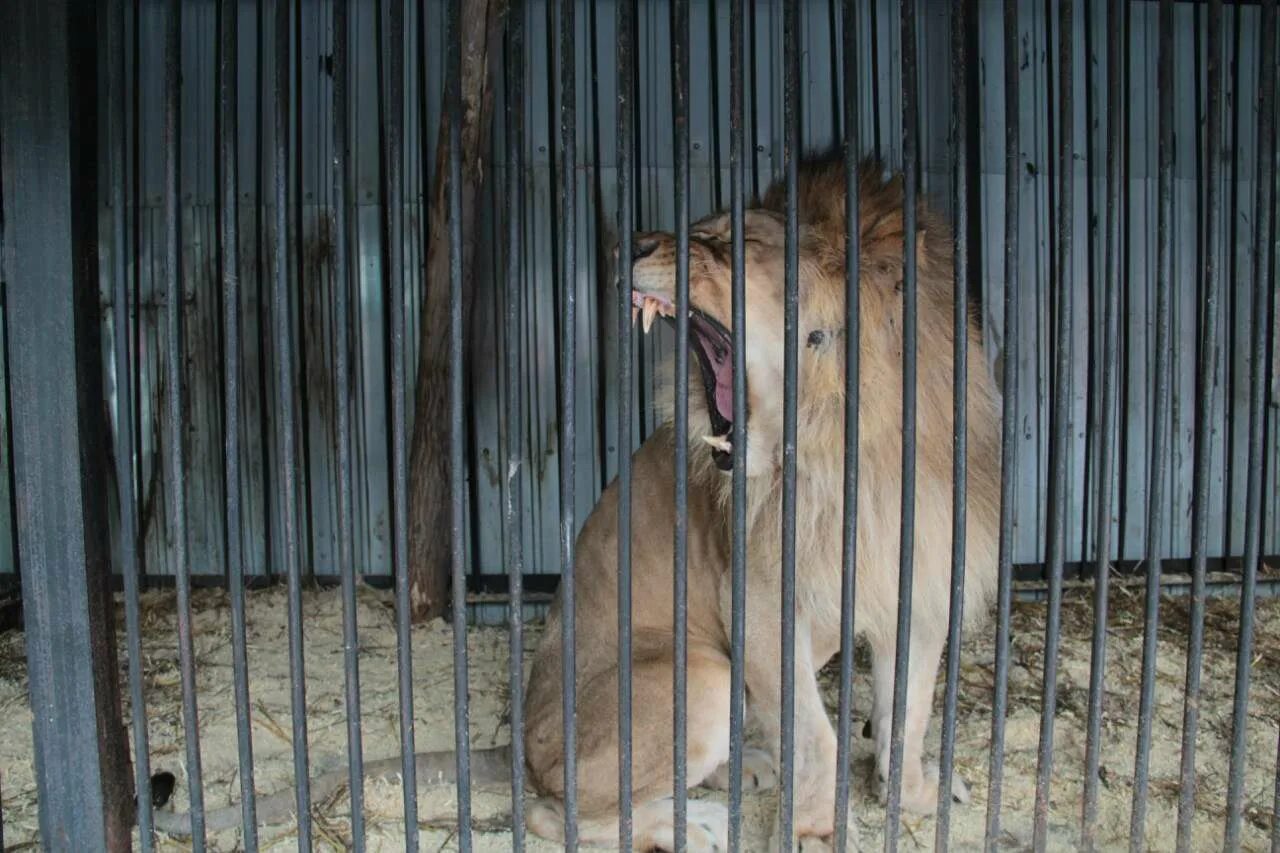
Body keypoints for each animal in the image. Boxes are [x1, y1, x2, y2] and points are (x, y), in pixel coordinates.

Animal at [152, 156, 998, 845]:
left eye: (727, 246)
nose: (633, 244)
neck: (845, 443)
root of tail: (518, 739)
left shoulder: (920, 588)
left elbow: (907, 710)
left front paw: (915, 794)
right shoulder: (758, 604)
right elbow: (818, 735)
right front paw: (820, 825)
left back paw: (745, 771)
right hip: (698, 672)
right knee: (554, 811)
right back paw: (693, 820)